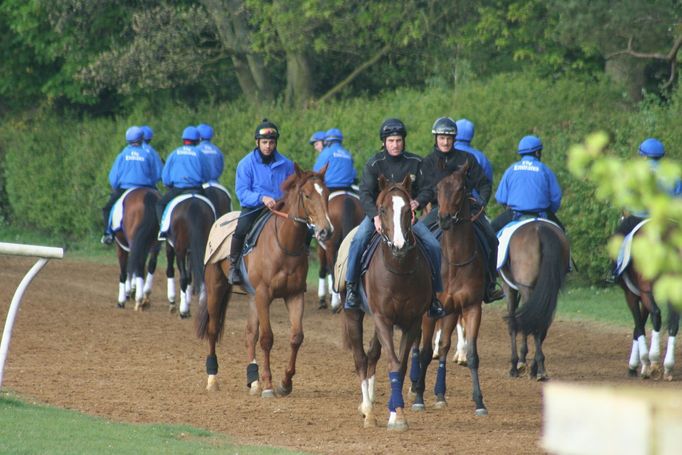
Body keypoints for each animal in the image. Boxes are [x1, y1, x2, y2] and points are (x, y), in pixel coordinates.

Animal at [195, 164, 334, 396]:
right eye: (307, 195)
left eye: (326, 194)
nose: (326, 231)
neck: (284, 245)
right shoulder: (264, 294)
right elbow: (267, 338)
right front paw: (269, 385)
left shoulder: (294, 295)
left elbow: (296, 337)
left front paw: (285, 383)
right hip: (217, 288)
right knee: (213, 329)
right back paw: (213, 380)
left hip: (252, 298)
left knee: (250, 334)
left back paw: (253, 380)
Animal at [340, 174, 430, 432]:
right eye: (382, 209)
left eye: (408, 209)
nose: (399, 246)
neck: (399, 272)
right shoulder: (382, 319)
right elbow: (392, 361)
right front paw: (394, 415)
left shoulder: (412, 322)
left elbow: (400, 365)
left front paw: (395, 413)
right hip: (353, 314)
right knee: (361, 359)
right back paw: (368, 411)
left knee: (372, 354)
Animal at [406, 165, 486, 416]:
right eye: (438, 188)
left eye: (461, 188)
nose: (444, 219)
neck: (454, 262)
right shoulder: (430, 312)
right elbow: (423, 353)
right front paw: (418, 397)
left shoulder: (471, 307)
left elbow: (472, 355)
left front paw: (479, 402)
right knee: (416, 345)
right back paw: (414, 384)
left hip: (450, 311)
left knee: (442, 347)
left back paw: (440, 393)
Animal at [500, 217, 568, 382]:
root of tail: (540, 228)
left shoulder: (509, 287)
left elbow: (513, 323)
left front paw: (516, 364)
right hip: (550, 291)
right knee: (542, 323)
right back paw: (537, 368)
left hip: (526, 288)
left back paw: (536, 368)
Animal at [612, 221, 676, 382]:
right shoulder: (642, 295)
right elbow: (638, 326)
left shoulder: (632, 295)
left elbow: (639, 326)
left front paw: (639, 365)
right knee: (673, 324)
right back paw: (668, 366)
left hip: (646, 290)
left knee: (656, 314)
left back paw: (652, 361)